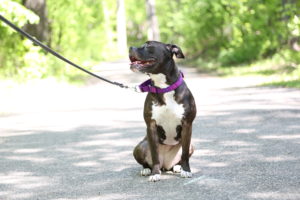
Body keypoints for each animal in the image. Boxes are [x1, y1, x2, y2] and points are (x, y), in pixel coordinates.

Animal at [129, 41, 197, 182]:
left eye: (148, 45)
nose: (130, 47)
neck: (164, 88)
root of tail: (165, 165)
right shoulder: (151, 126)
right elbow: (155, 155)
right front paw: (155, 173)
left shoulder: (187, 125)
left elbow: (184, 154)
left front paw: (186, 170)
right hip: (140, 146)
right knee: (148, 162)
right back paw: (147, 169)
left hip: (191, 145)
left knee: (180, 158)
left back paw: (177, 167)